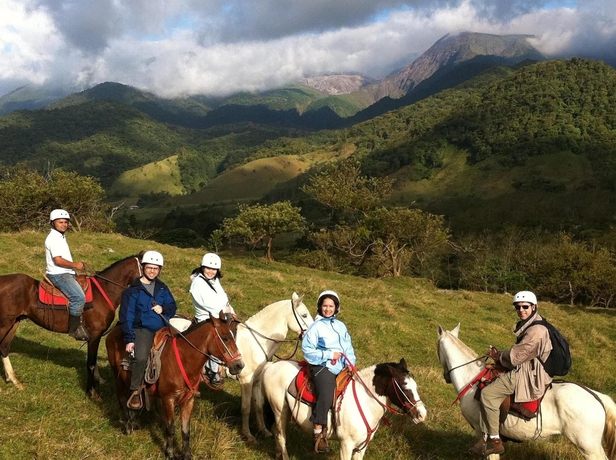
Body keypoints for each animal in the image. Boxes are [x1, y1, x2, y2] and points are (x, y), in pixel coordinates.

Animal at [0, 253, 142, 398]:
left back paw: (14, 380)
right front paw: (92, 391)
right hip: (5, 323)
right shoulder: (95, 334)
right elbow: (91, 363)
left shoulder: (94, 336)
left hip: (15, 322)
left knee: (4, 347)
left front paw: (99, 380)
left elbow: (94, 359)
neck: (104, 292)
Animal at [104, 310, 244, 458]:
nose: (239, 365)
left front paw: (186, 455)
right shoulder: (168, 400)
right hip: (117, 377)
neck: (183, 360)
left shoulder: (188, 400)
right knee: (122, 399)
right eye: (225, 338)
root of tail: (114, 330)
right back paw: (128, 426)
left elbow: (186, 431)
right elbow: (170, 429)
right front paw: (170, 453)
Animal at [258, 360, 426, 460]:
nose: (422, 414)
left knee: (276, 432)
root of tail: (271, 365)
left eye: (416, 386)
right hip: (280, 411)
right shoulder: (346, 444)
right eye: (404, 385)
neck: (364, 401)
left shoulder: (361, 446)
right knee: (281, 436)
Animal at [438, 324, 616, 460]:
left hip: (588, 448)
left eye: (437, 348)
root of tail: (597, 397)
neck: (472, 379)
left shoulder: (482, 433)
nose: (446, 377)